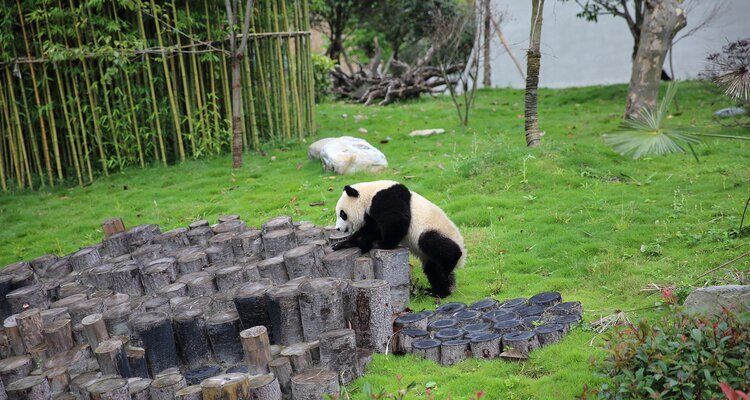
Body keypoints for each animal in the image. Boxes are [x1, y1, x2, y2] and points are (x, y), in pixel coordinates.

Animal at [332, 180, 465, 297]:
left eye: (342, 214)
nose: (338, 229)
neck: (369, 193)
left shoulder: (386, 198)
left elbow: (396, 221)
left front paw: (381, 244)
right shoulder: (371, 215)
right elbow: (371, 231)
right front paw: (341, 244)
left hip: (435, 230)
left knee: (433, 244)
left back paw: (447, 269)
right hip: (430, 257)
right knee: (433, 270)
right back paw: (439, 291)